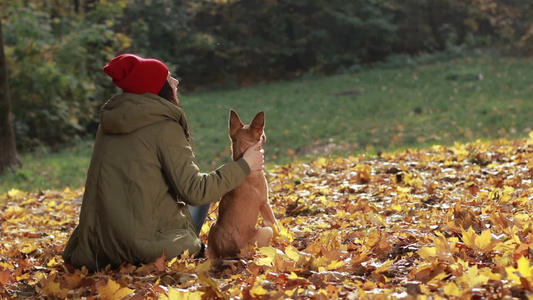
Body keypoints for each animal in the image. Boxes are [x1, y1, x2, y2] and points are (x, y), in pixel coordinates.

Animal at [207, 109, 276, 258]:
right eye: (262, 135)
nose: (265, 136)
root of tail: (231, 252)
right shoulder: (265, 203)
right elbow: (276, 224)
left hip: (213, 226)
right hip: (266, 230)